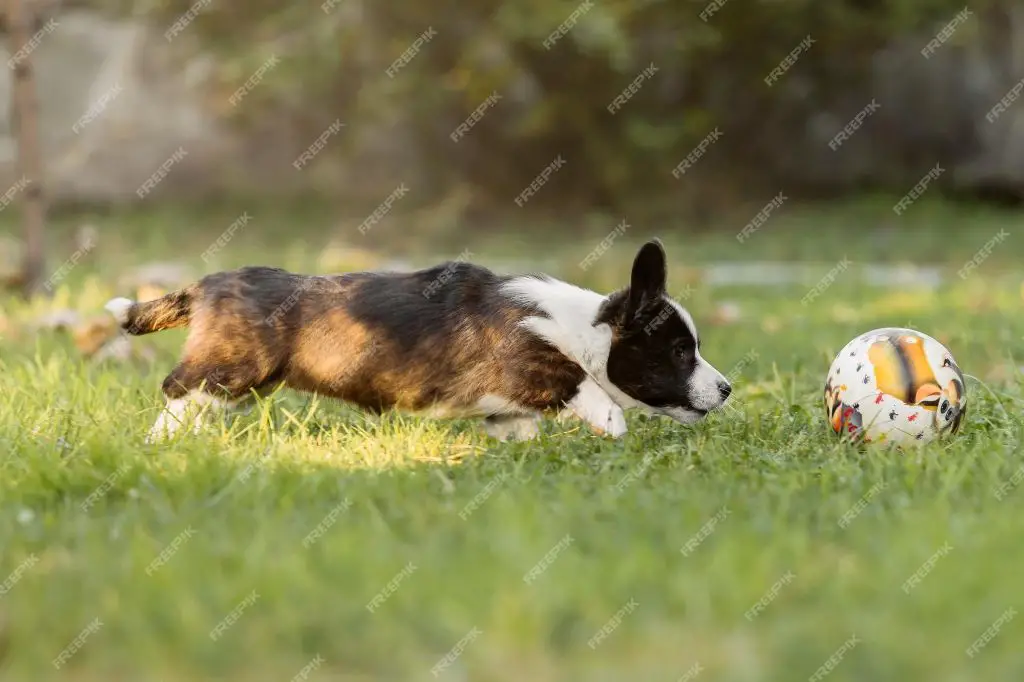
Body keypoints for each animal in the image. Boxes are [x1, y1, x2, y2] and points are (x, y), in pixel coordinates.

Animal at [108, 238, 733, 440]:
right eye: (681, 351)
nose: (728, 389)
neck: (586, 327)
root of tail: (205, 284)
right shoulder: (534, 362)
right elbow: (588, 389)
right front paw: (614, 428)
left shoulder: (508, 407)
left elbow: (519, 428)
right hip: (231, 367)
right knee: (178, 390)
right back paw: (163, 443)